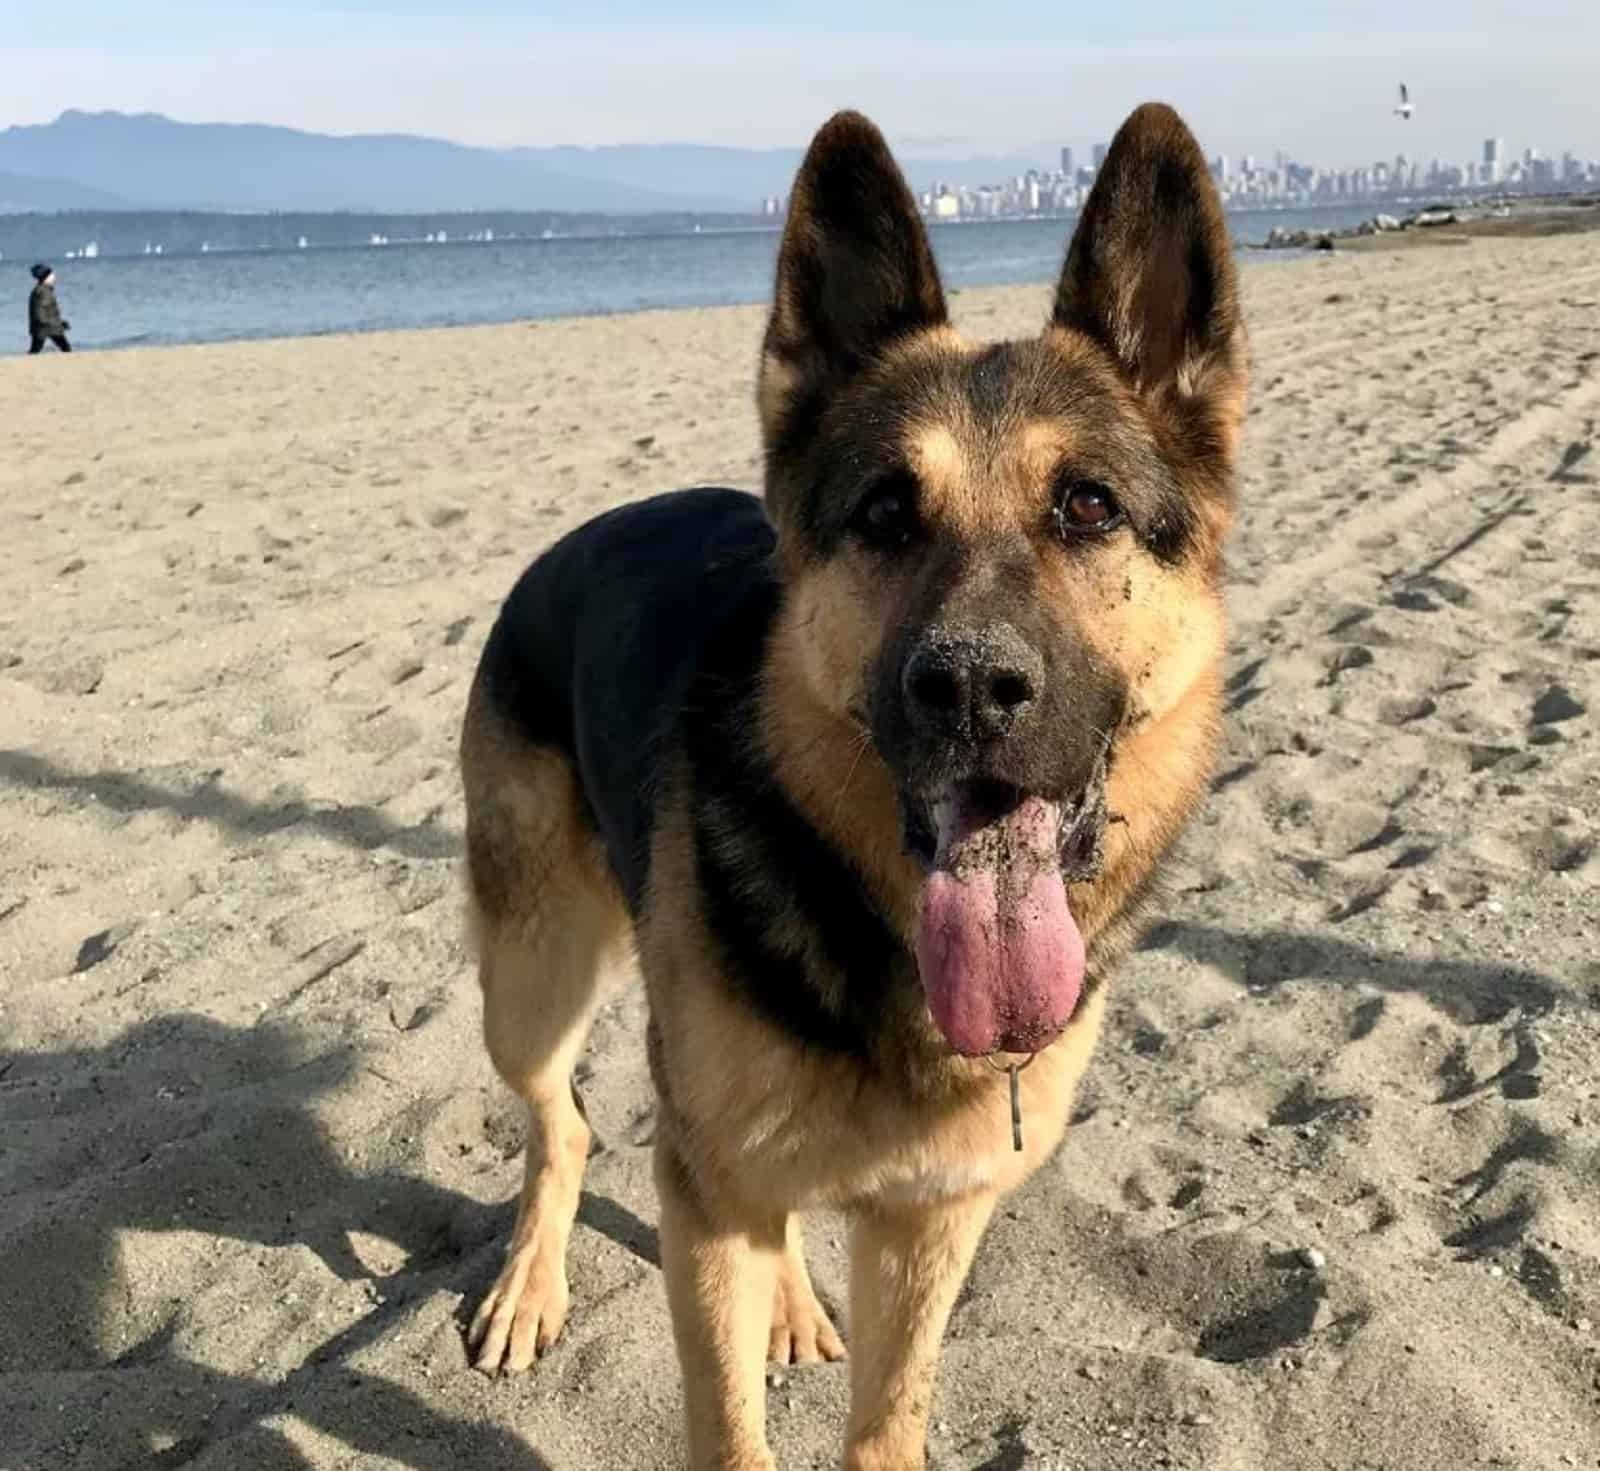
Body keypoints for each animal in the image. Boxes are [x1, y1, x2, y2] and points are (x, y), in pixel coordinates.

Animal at [464, 97, 1248, 1466]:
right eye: (885, 513)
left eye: (1089, 506)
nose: (972, 690)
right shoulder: (710, 1198)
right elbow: (729, 1429)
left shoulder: (929, 1219)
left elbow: (886, 1419)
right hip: (531, 983)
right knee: (561, 1121)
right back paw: (531, 1281)